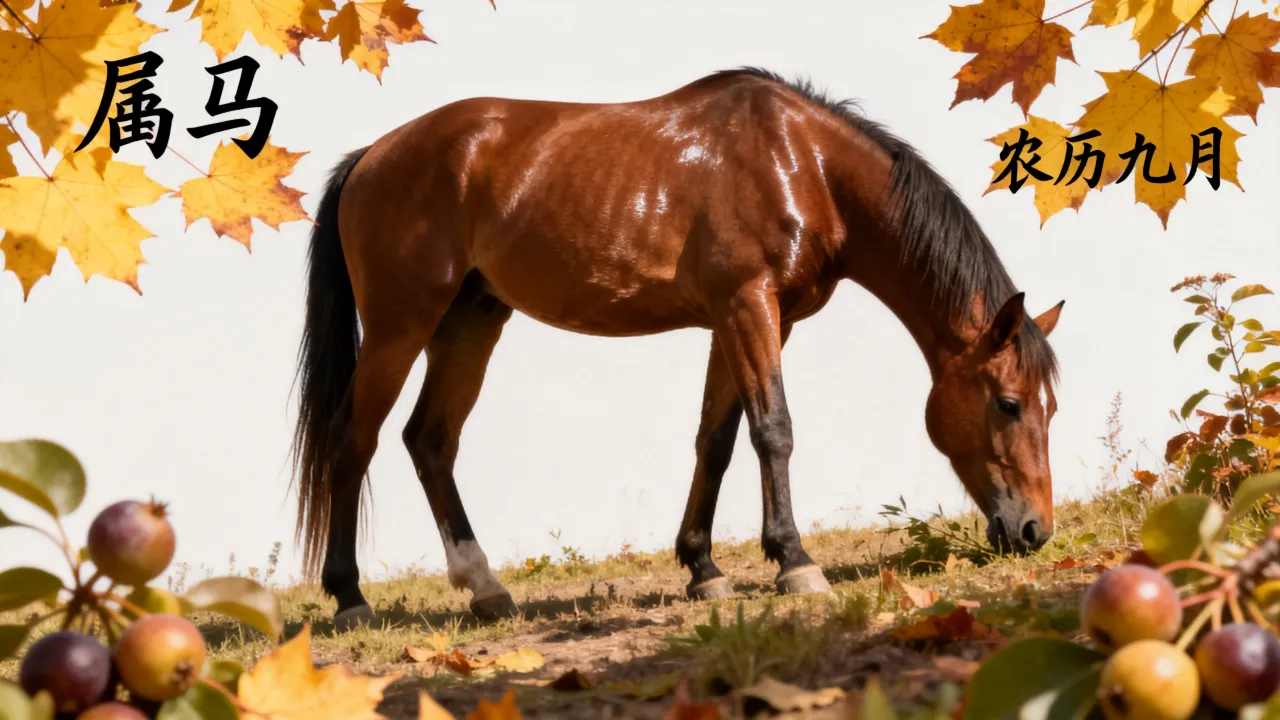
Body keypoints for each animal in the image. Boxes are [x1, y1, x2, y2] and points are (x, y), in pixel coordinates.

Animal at [289, 67, 1065, 628]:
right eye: (1008, 403)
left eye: (1049, 408)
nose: (1034, 530)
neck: (803, 164)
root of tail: (370, 157)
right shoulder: (749, 306)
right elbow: (774, 431)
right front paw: (795, 562)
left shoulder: (745, 320)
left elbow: (715, 442)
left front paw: (703, 569)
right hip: (399, 327)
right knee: (354, 440)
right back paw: (350, 598)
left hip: (470, 321)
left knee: (430, 440)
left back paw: (485, 588)